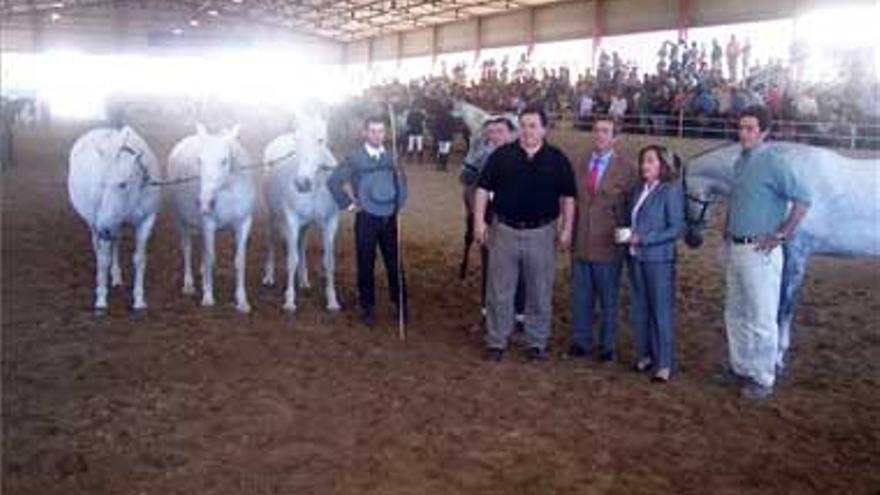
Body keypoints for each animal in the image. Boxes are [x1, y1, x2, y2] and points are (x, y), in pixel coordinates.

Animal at [68, 126, 161, 312]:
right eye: (101, 183)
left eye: (122, 184)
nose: (104, 229)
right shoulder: (102, 221)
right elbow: (103, 259)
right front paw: (101, 299)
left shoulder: (146, 220)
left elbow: (139, 259)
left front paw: (139, 299)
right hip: (95, 223)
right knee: (98, 248)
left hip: (115, 224)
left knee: (115, 242)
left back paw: (116, 277)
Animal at [168, 123, 256, 314]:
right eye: (199, 160)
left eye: (224, 160)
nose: (204, 202)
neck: (228, 191)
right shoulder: (208, 224)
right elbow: (210, 257)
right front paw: (208, 296)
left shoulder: (244, 223)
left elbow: (240, 261)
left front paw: (242, 301)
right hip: (182, 220)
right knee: (187, 249)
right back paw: (189, 284)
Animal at [262, 114, 340, 312]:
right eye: (297, 140)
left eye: (321, 140)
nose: (302, 183)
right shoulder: (292, 220)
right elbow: (291, 260)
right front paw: (289, 301)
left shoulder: (331, 222)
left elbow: (329, 261)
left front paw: (332, 300)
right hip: (272, 214)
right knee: (271, 241)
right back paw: (269, 277)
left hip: (305, 225)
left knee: (302, 243)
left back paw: (304, 280)